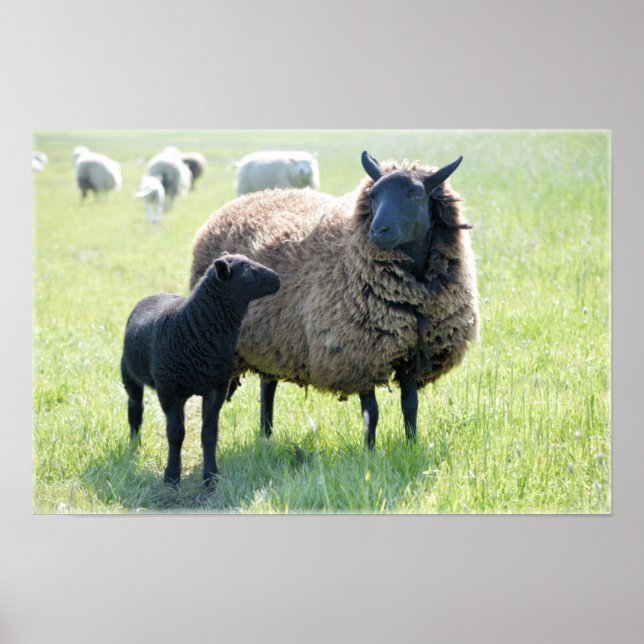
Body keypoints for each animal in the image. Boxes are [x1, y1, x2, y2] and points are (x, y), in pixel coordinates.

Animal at [121, 253, 281, 487]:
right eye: (246, 271)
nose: (277, 278)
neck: (194, 326)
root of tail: (155, 295)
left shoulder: (217, 388)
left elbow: (209, 434)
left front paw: (211, 476)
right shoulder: (169, 390)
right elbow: (175, 434)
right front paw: (171, 477)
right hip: (130, 373)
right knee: (135, 408)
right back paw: (134, 445)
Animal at [190, 150, 479, 449]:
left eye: (416, 193)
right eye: (374, 194)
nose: (378, 230)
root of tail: (240, 202)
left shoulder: (414, 353)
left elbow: (410, 406)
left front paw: (411, 445)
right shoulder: (359, 355)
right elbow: (371, 412)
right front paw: (370, 451)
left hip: (272, 338)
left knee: (267, 386)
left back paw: (266, 435)